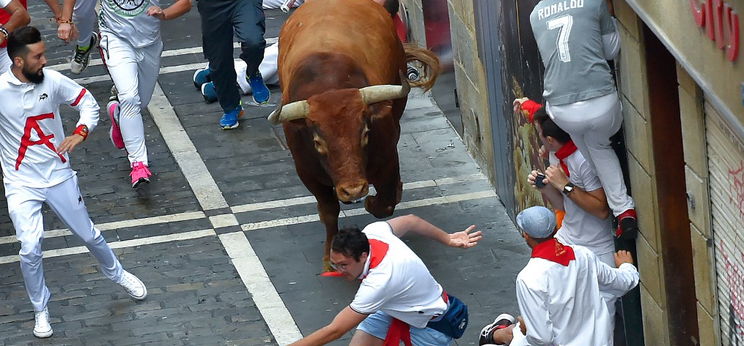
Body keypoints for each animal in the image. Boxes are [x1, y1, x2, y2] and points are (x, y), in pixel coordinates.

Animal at [270, 0, 438, 270]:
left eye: (365, 133)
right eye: (317, 142)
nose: (354, 190)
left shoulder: (387, 158)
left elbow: (385, 201)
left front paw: (373, 201)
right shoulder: (307, 173)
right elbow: (329, 210)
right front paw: (329, 256)